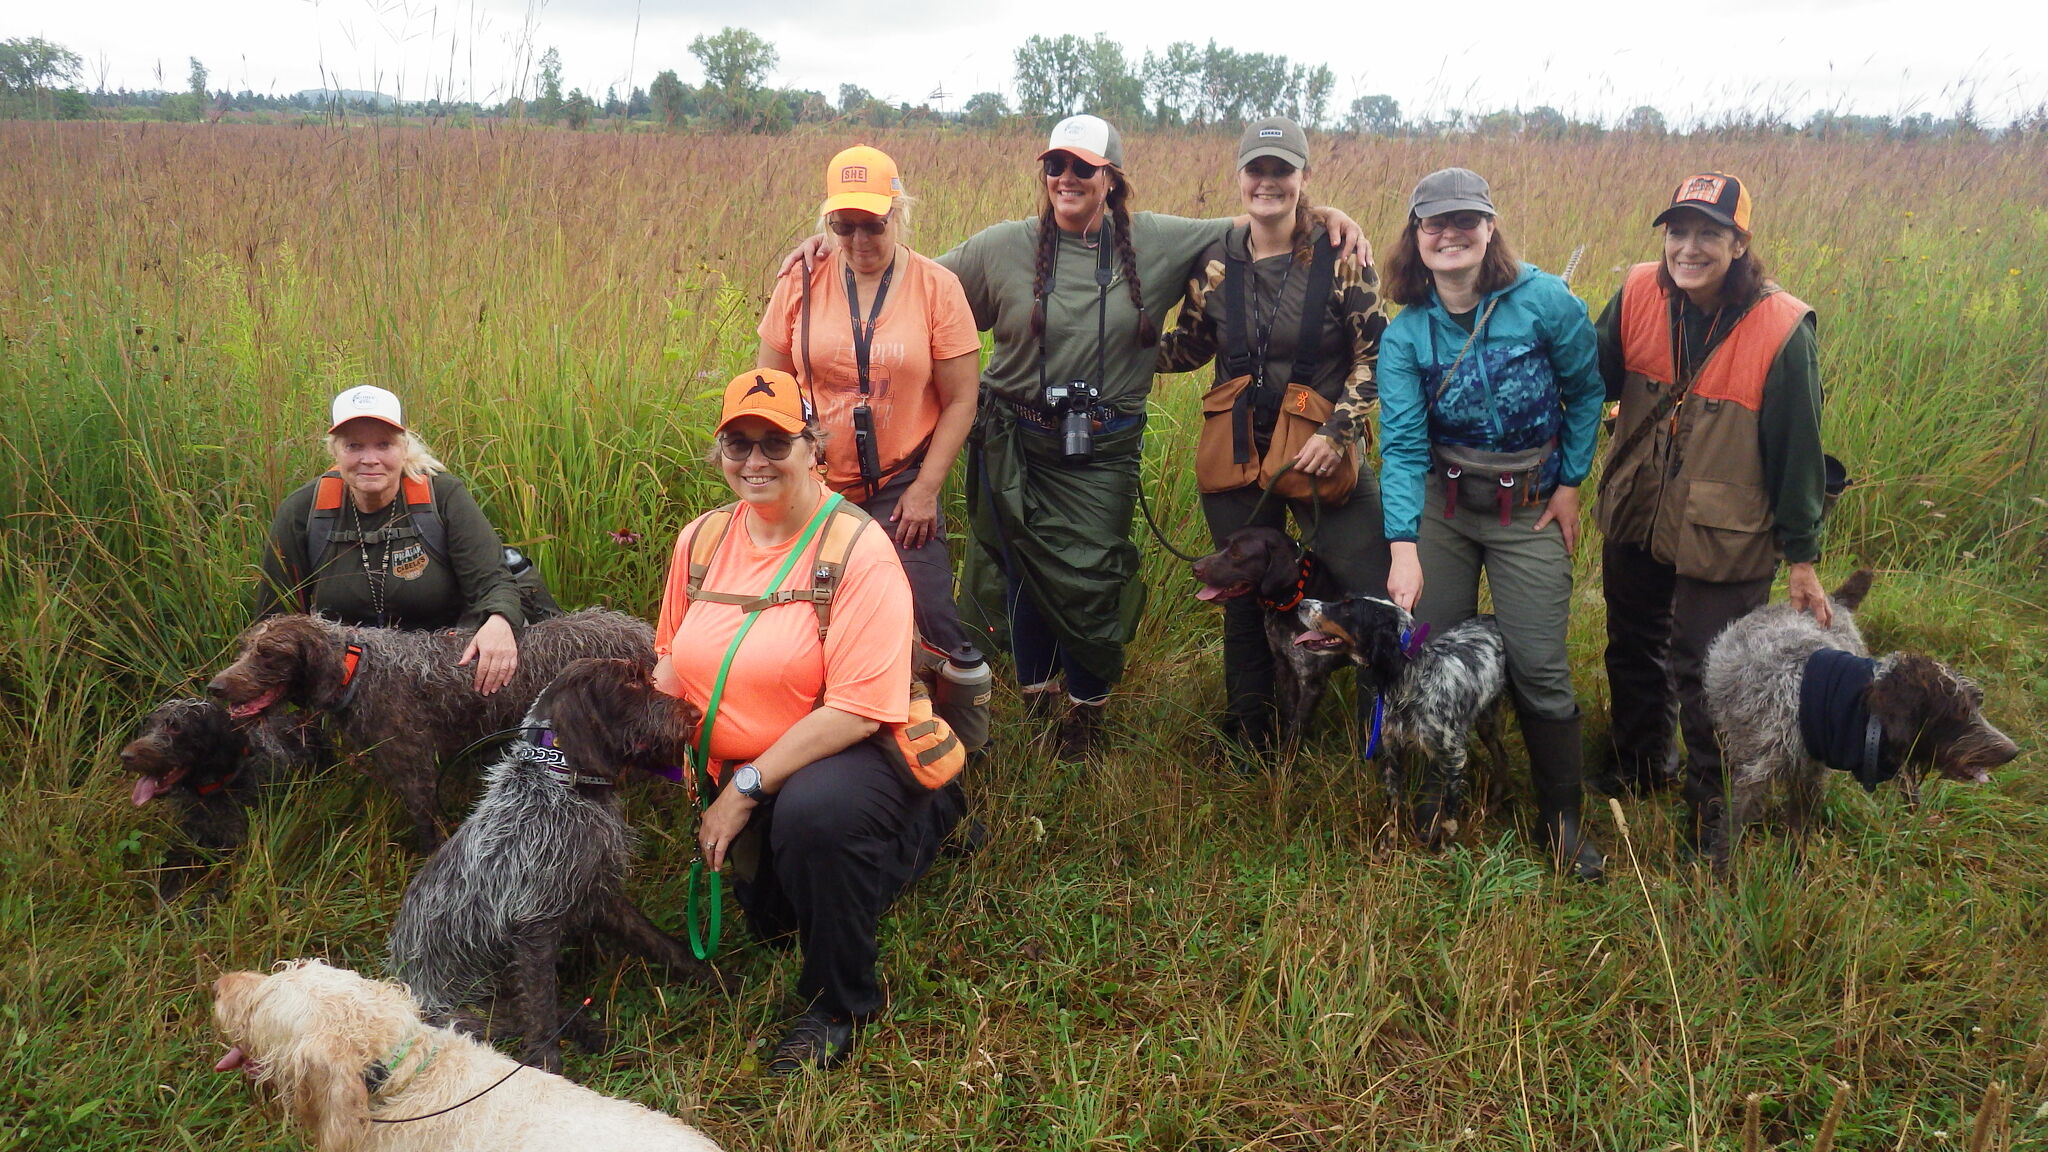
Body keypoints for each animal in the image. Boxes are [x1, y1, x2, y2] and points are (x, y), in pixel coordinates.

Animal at [203, 606, 651, 848]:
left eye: (267, 654)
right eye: (245, 648)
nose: (215, 687)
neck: (356, 670)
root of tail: (641, 632)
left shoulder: (415, 771)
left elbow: (428, 828)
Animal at [387, 655, 724, 1065]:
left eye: (649, 680)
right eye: (629, 684)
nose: (696, 713)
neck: (560, 781)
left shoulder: (599, 893)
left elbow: (660, 941)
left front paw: (712, 977)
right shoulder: (533, 925)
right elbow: (541, 1012)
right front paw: (548, 1066)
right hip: (471, 1014)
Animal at [1196, 522, 1351, 737]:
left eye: (1237, 554)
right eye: (1223, 545)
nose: (1194, 568)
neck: (1294, 597)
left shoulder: (1312, 682)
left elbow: (1295, 732)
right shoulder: (1284, 666)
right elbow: (1287, 717)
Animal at [1695, 569, 2015, 865]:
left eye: (1976, 703)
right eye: (1955, 714)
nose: (2012, 751)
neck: (1804, 696)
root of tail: (1835, 601)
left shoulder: (1811, 774)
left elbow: (1799, 827)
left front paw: (1797, 867)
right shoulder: (1754, 775)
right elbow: (1730, 834)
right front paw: (1725, 880)